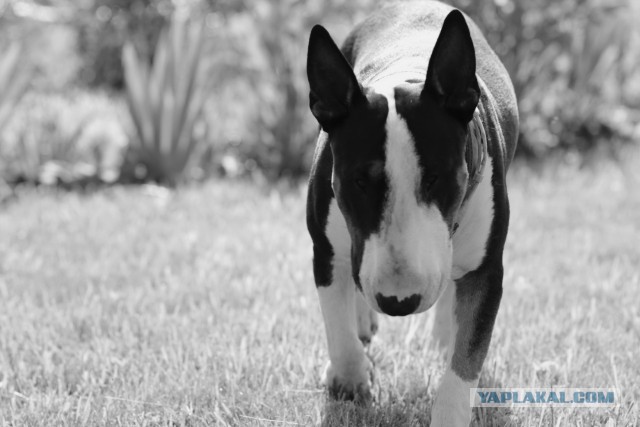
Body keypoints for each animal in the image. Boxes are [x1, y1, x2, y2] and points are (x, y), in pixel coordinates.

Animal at [304, 1, 520, 426]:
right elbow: (336, 321)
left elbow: (467, 356)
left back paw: (442, 334)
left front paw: (450, 412)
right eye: (359, 181)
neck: (404, 75)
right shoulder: (326, 248)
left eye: (435, 177)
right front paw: (350, 378)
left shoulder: (488, 270)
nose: (398, 303)